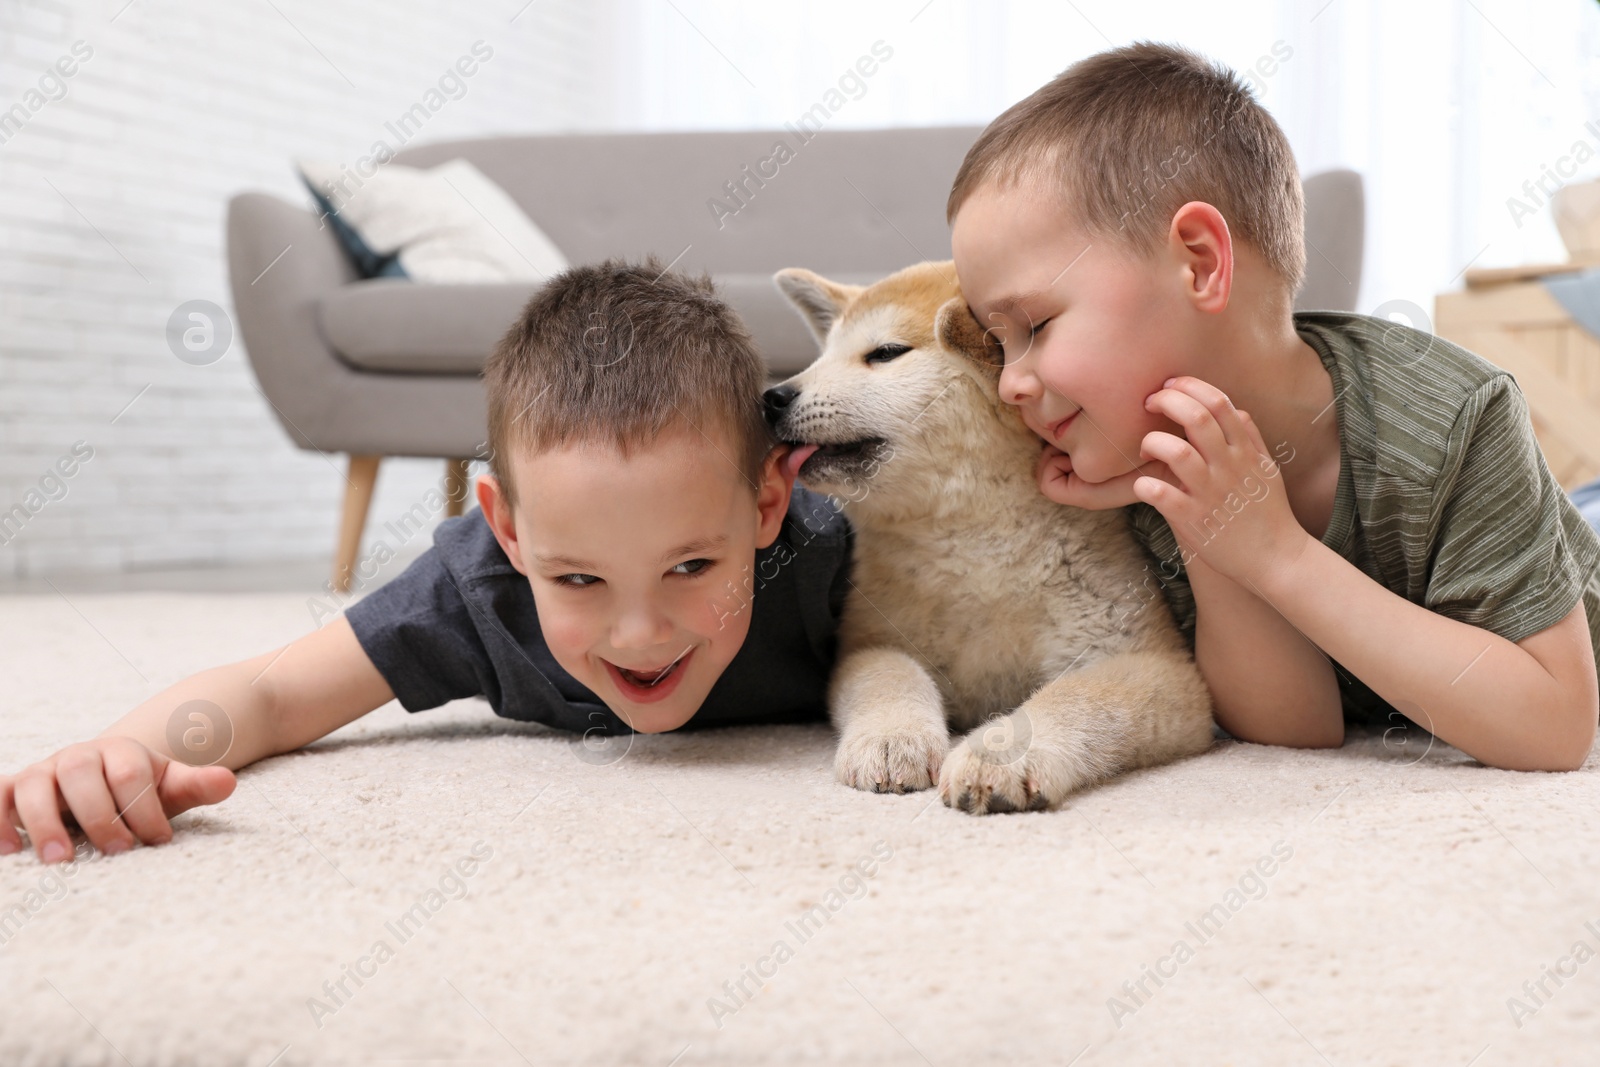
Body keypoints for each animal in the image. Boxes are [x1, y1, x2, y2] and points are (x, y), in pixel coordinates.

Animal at [761, 262, 1209, 812]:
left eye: (885, 352)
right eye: (821, 357)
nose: (773, 398)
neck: (975, 550)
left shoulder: (1152, 663)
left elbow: (1076, 698)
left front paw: (999, 754)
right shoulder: (871, 641)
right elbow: (889, 677)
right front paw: (891, 739)